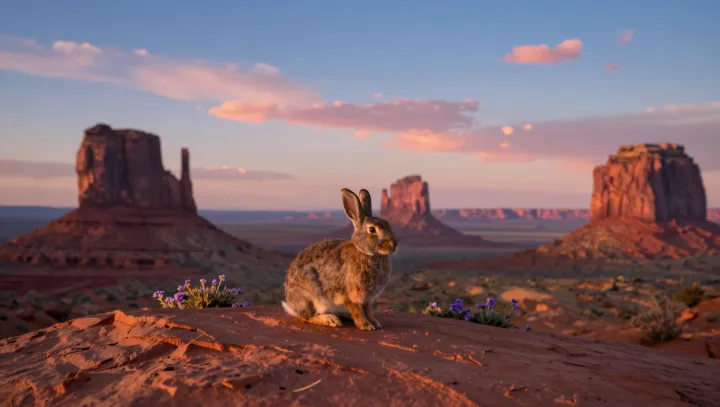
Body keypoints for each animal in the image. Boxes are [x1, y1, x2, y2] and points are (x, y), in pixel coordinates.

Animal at [282, 188, 398, 330]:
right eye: (372, 229)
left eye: (388, 223)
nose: (394, 245)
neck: (366, 253)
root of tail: (291, 306)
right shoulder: (351, 295)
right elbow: (358, 311)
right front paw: (366, 326)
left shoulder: (368, 299)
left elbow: (368, 311)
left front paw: (375, 323)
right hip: (312, 296)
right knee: (307, 318)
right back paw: (331, 320)